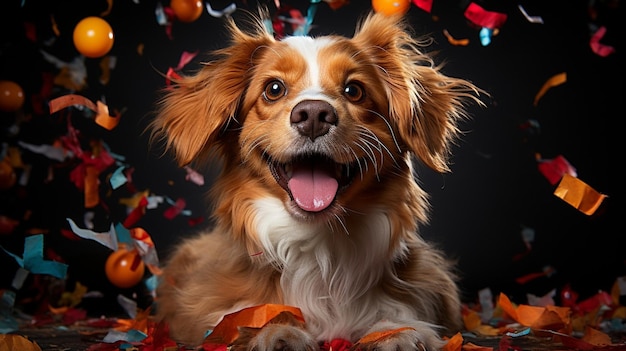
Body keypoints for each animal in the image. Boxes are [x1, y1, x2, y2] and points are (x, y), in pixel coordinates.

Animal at [149, 8, 480, 351]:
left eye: (354, 90)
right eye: (274, 89)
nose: (313, 115)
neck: (319, 248)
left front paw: (398, 332)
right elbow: (245, 317)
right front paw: (276, 331)